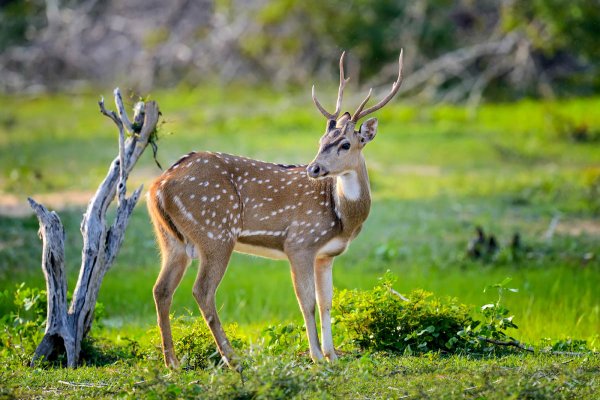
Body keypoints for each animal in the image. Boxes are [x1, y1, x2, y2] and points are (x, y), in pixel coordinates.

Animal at [148, 50, 406, 368]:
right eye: (321, 141)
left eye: (345, 144)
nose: (313, 168)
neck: (342, 218)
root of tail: (157, 186)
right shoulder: (300, 242)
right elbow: (306, 302)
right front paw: (316, 356)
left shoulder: (326, 255)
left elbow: (326, 302)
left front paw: (332, 355)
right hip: (215, 233)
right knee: (202, 291)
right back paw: (232, 359)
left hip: (171, 240)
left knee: (161, 290)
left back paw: (172, 363)